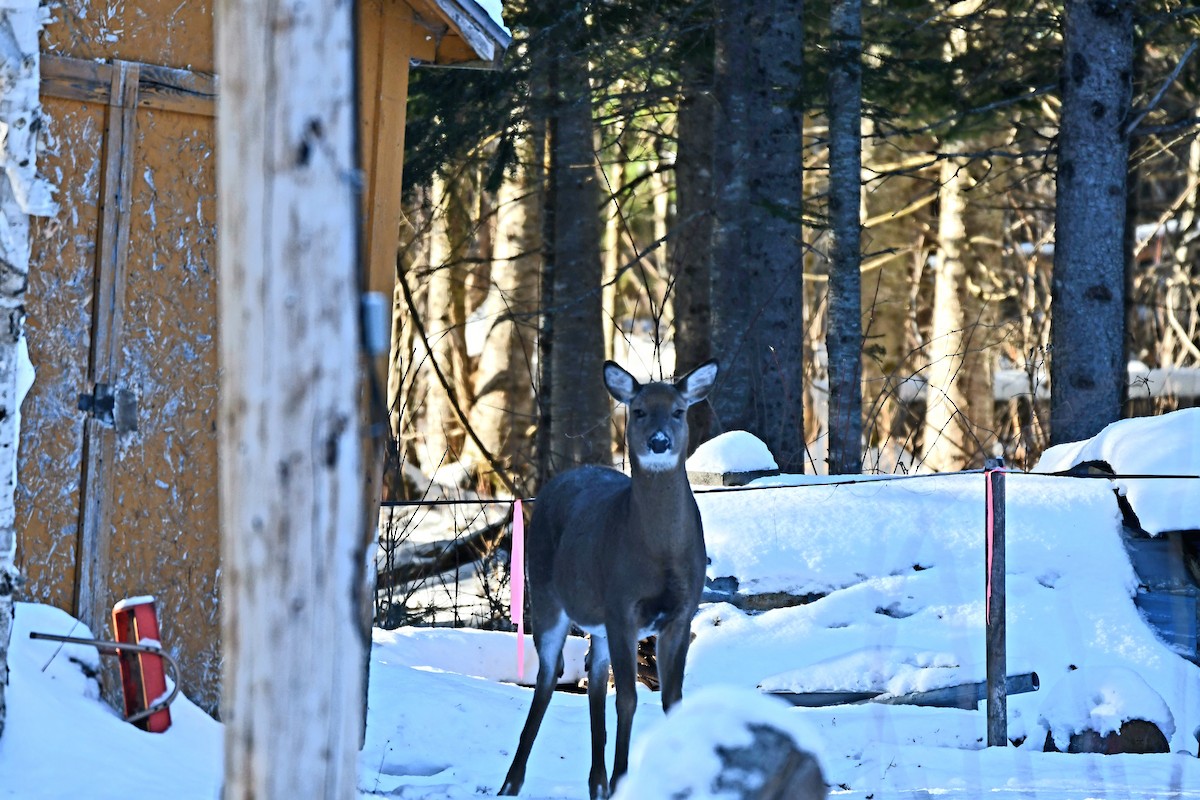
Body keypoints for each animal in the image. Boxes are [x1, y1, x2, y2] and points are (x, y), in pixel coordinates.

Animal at [499, 359, 719, 799]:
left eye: (678, 411)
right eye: (639, 411)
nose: (658, 442)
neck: (660, 554)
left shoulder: (680, 614)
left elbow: (672, 698)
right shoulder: (623, 606)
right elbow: (629, 699)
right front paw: (623, 779)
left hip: (597, 621)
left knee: (595, 676)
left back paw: (596, 783)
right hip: (545, 595)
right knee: (547, 677)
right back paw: (512, 782)